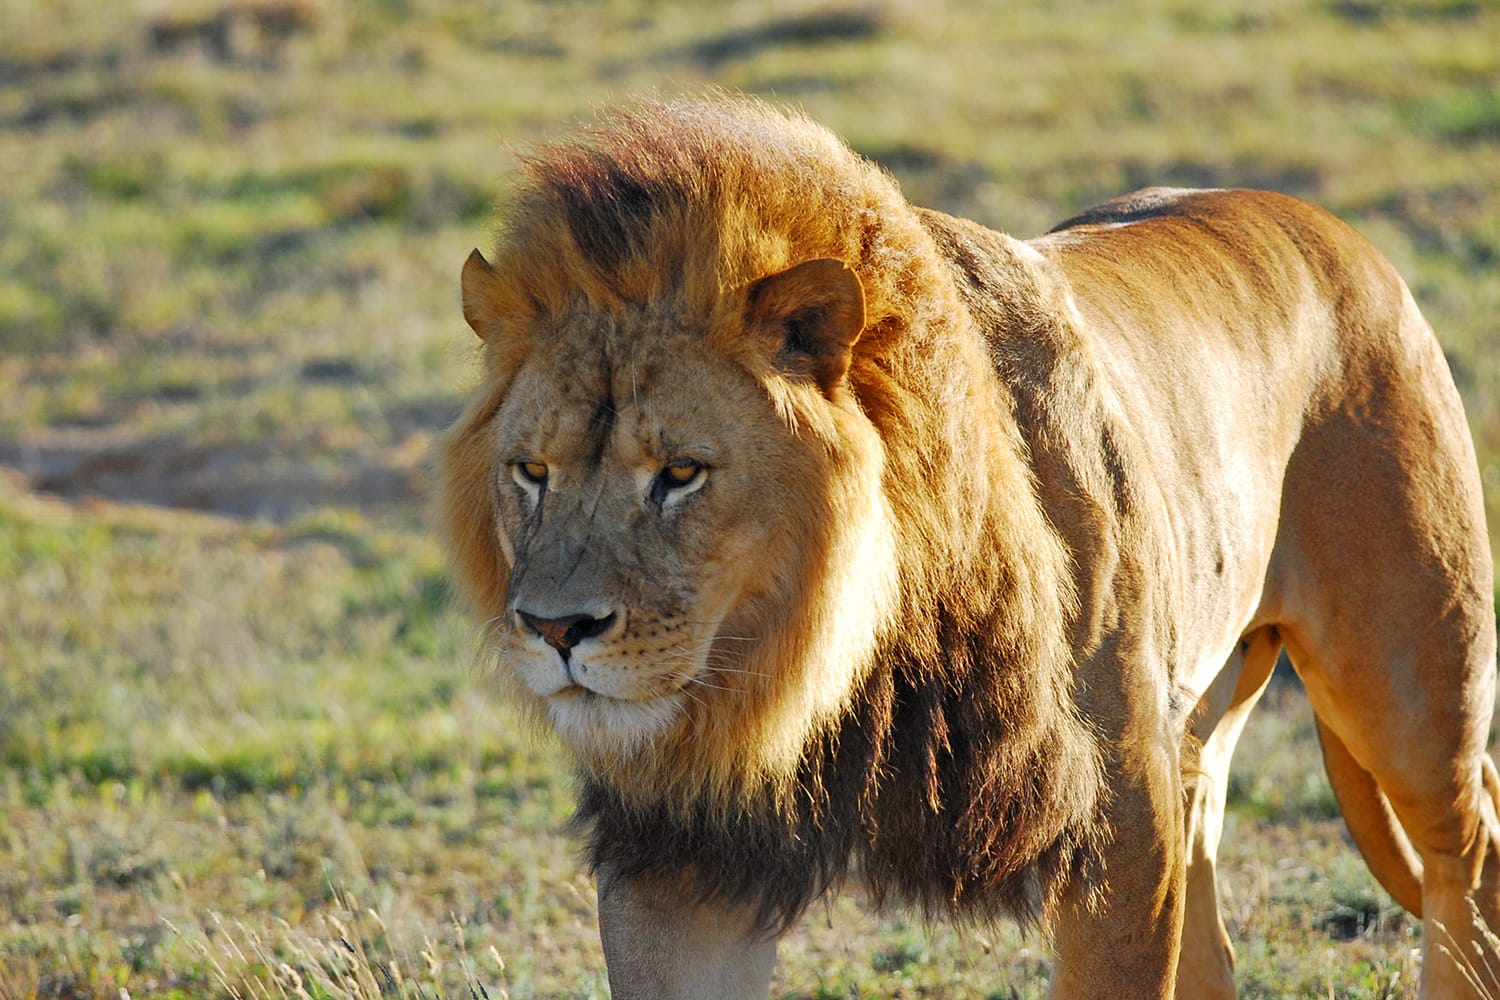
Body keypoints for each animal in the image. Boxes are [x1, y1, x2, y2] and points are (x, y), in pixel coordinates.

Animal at [438, 95, 1500, 998]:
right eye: (531, 472)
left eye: (682, 472)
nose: (554, 628)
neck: (816, 670)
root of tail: (1337, 233)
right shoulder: (680, 857)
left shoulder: (1120, 820)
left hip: (1410, 684)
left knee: (1468, 844)